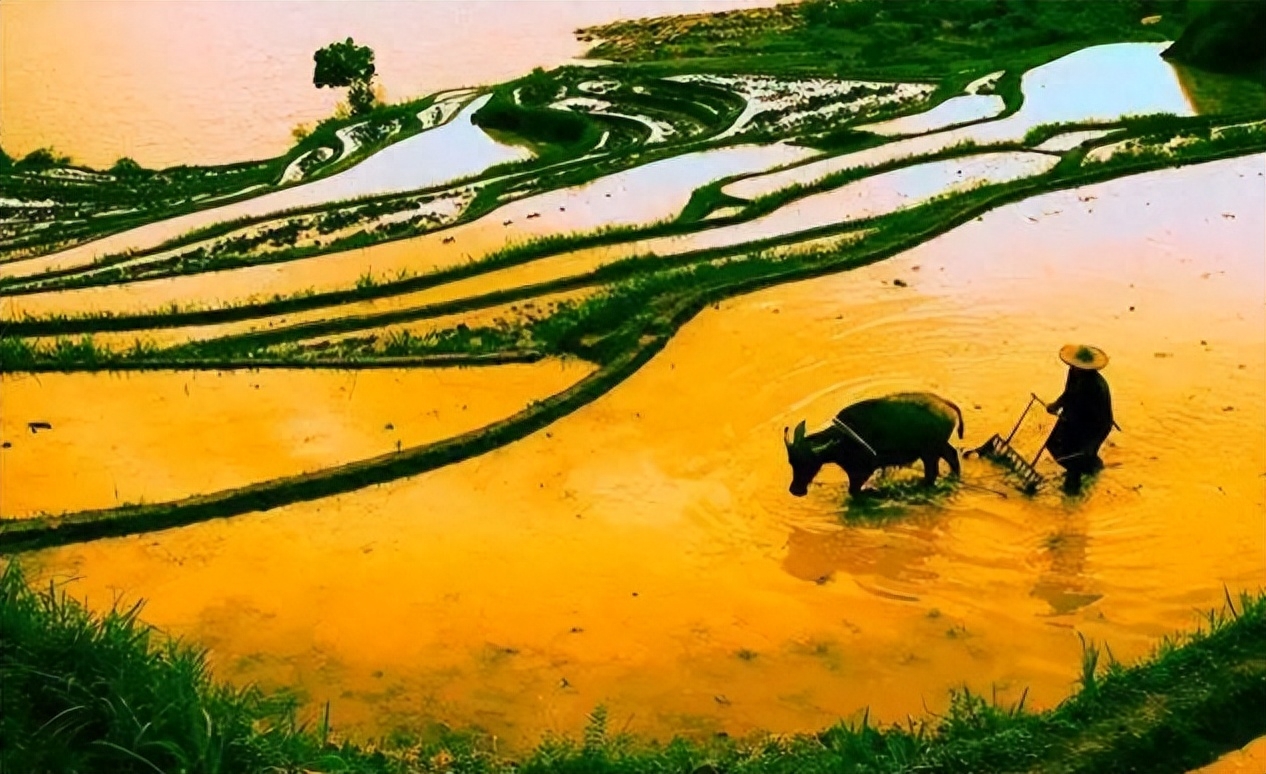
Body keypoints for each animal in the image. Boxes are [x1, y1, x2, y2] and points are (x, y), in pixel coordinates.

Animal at [779, 390, 957, 499]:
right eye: (791, 462)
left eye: (808, 463)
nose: (795, 490)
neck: (841, 440)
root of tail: (947, 405)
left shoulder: (861, 472)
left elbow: (854, 492)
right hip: (938, 448)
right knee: (952, 456)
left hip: (930, 453)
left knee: (933, 473)